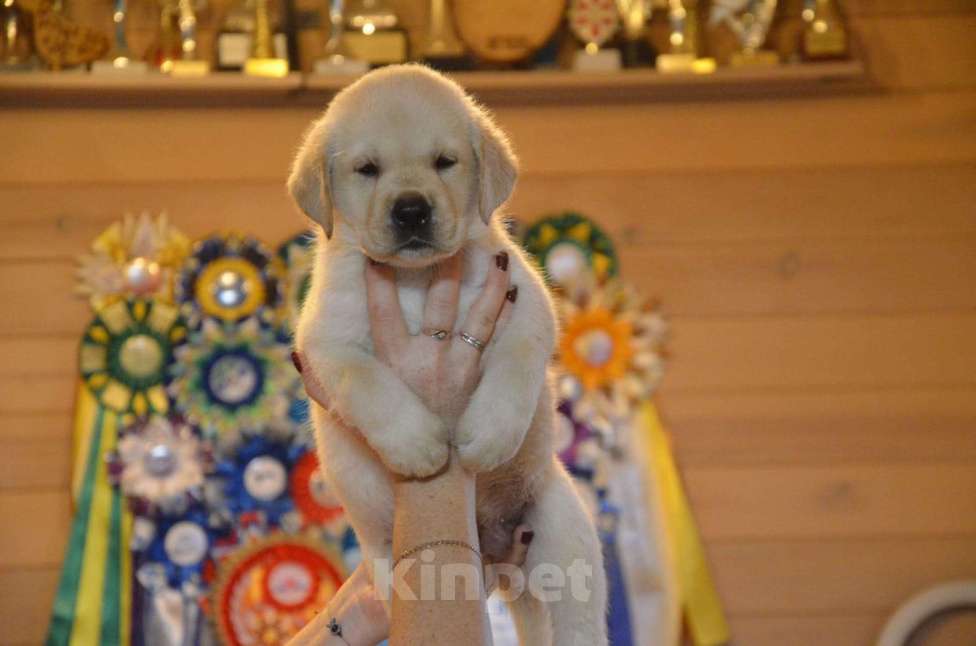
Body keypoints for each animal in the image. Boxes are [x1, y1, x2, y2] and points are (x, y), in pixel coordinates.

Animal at [288, 62, 604, 646]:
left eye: (444, 162)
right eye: (368, 169)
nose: (411, 210)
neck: (416, 280)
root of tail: (500, 562)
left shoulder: (525, 305)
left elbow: (513, 369)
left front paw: (488, 435)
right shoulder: (326, 342)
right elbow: (370, 385)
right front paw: (419, 447)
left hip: (566, 540)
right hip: (380, 544)